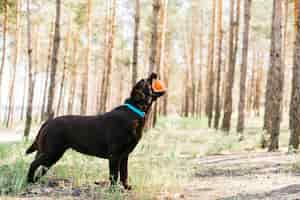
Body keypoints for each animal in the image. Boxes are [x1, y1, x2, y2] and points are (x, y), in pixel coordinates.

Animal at [25, 73, 165, 189]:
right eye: (146, 81)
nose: (154, 73)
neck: (134, 112)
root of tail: (48, 122)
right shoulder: (114, 155)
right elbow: (114, 175)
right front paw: (113, 190)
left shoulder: (125, 155)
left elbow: (124, 174)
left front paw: (126, 187)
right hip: (52, 151)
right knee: (33, 164)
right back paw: (29, 181)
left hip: (50, 153)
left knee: (40, 167)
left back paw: (35, 181)